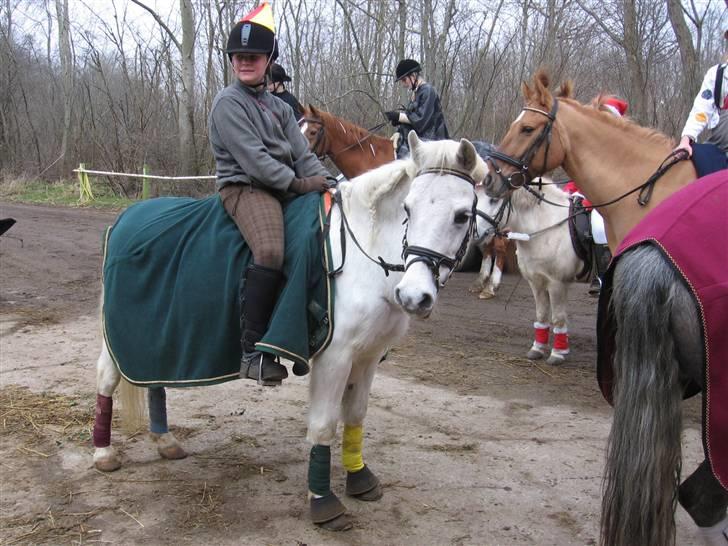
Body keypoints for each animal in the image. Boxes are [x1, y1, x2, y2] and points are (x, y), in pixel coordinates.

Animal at [92, 131, 490, 528]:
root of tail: (127, 217)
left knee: (153, 378)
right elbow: (323, 425)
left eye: (462, 216)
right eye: (407, 209)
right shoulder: (335, 357)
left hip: (155, 330)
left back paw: (165, 441)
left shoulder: (367, 356)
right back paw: (103, 453)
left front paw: (359, 477)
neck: (366, 254)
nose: (413, 296)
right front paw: (323, 501)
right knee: (106, 378)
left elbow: (356, 414)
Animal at [474, 181, 588, 364]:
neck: (546, 224)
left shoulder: (557, 283)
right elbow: (541, 314)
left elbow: (558, 317)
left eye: (494, 199)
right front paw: (537, 348)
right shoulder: (536, 281)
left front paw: (558, 352)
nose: (474, 231)